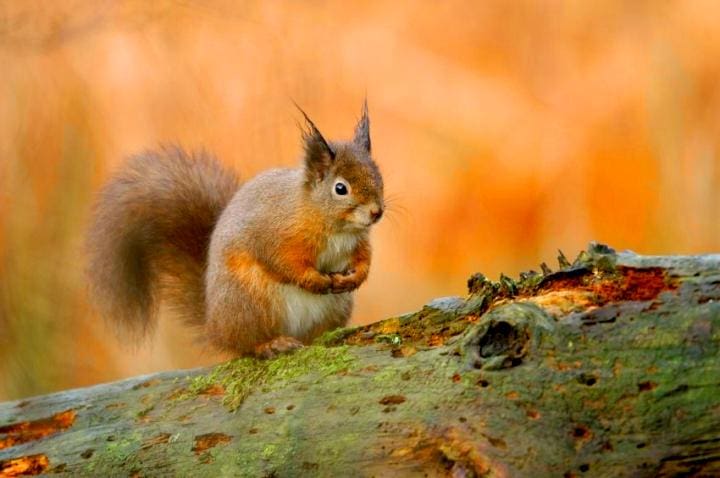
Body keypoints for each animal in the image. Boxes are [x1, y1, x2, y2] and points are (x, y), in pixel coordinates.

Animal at [86, 103, 383, 358]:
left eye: (378, 176)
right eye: (340, 188)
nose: (376, 212)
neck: (335, 227)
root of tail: (215, 325)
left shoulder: (358, 243)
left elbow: (364, 260)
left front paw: (355, 277)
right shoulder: (275, 234)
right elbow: (283, 261)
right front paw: (315, 280)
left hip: (335, 307)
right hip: (250, 302)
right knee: (247, 344)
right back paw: (272, 344)